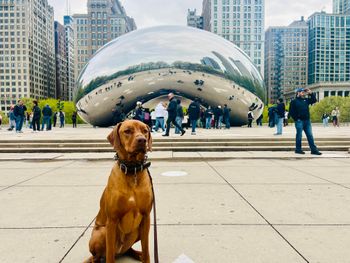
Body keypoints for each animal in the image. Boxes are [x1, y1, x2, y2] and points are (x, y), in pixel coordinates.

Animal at [85, 120, 153, 263]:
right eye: (127, 131)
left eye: (145, 131)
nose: (142, 140)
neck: (132, 170)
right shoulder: (112, 220)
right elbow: (110, 254)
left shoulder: (146, 217)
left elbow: (147, 251)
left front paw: (144, 256)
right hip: (101, 232)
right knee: (98, 257)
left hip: (137, 231)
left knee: (128, 249)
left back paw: (137, 253)